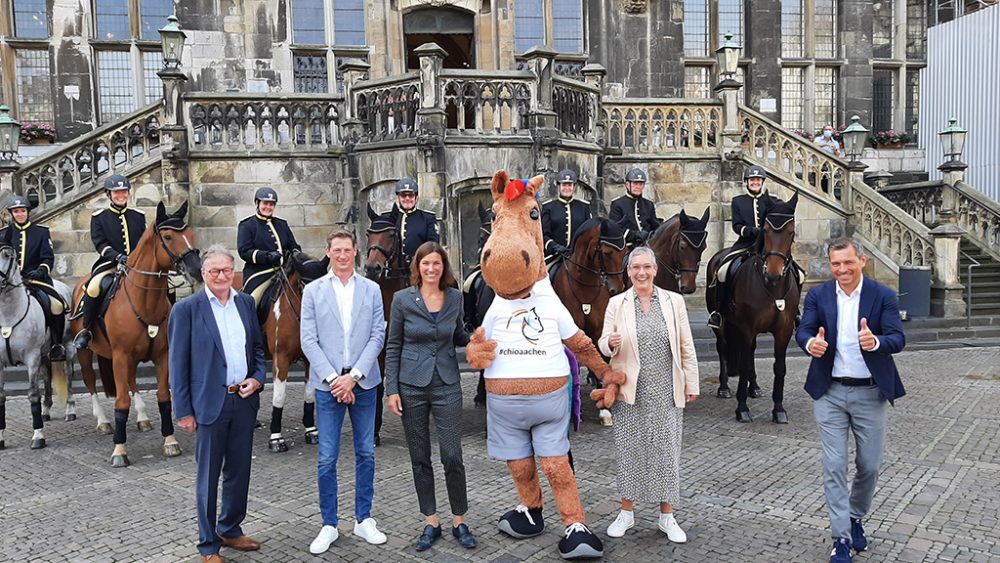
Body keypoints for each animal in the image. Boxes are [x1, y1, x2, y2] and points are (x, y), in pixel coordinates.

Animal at [70, 203, 201, 468]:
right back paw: (103, 421)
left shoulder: (161, 355)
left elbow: (164, 397)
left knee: (131, 380)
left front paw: (170, 441)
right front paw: (119, 450)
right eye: (168, 237)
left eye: (190, 233)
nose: (196, 269)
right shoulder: (121, 355)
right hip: (87, 353)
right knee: (90, 382)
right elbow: (121, 402)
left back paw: (141, 417)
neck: (144, 301)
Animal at [708, 194, 800, 424]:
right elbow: (742, 365)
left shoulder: (783, 331)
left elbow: (779, 367)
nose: (774, 272)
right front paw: (742, 409)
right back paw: (724, 388)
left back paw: (754, 387)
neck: (773, 288)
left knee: (750, 353)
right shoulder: (746, 327)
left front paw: (778, 409)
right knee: (723, 348)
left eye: (791, 231)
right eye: (765, 230)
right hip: (722, 323)